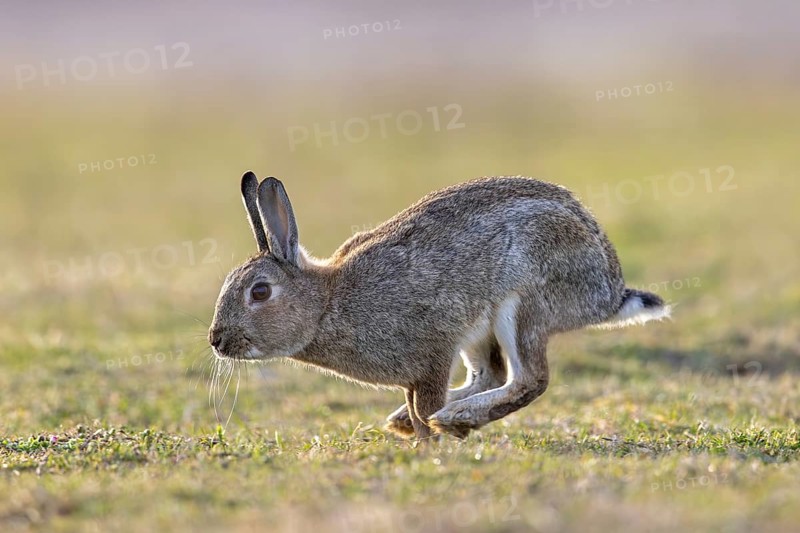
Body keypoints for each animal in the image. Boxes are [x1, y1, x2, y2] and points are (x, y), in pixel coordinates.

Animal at [209, 171, 670, 439]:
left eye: (260, 292)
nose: (217, 340)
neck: (326, 303)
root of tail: (609, 289)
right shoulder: (427, 361)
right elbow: (418, 404)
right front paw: (415, 434)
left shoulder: (431, 351)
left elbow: (424, 405)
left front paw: (430, 444)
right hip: (480, 328)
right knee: (492, 373)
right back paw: (428, 418)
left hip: (521, 305)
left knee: (529, 379)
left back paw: (455, 419)